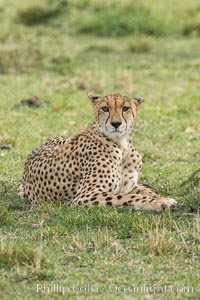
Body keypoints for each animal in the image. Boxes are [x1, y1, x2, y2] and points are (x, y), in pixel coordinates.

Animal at [17, 94, 177, 211]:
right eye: (105, 108)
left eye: (125, 108)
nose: (116, 124)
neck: (122, 145)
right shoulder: (85, 195)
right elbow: (126, 197)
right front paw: (161, 202)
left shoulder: (127, 186)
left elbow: (137, 191)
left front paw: (158, 198)